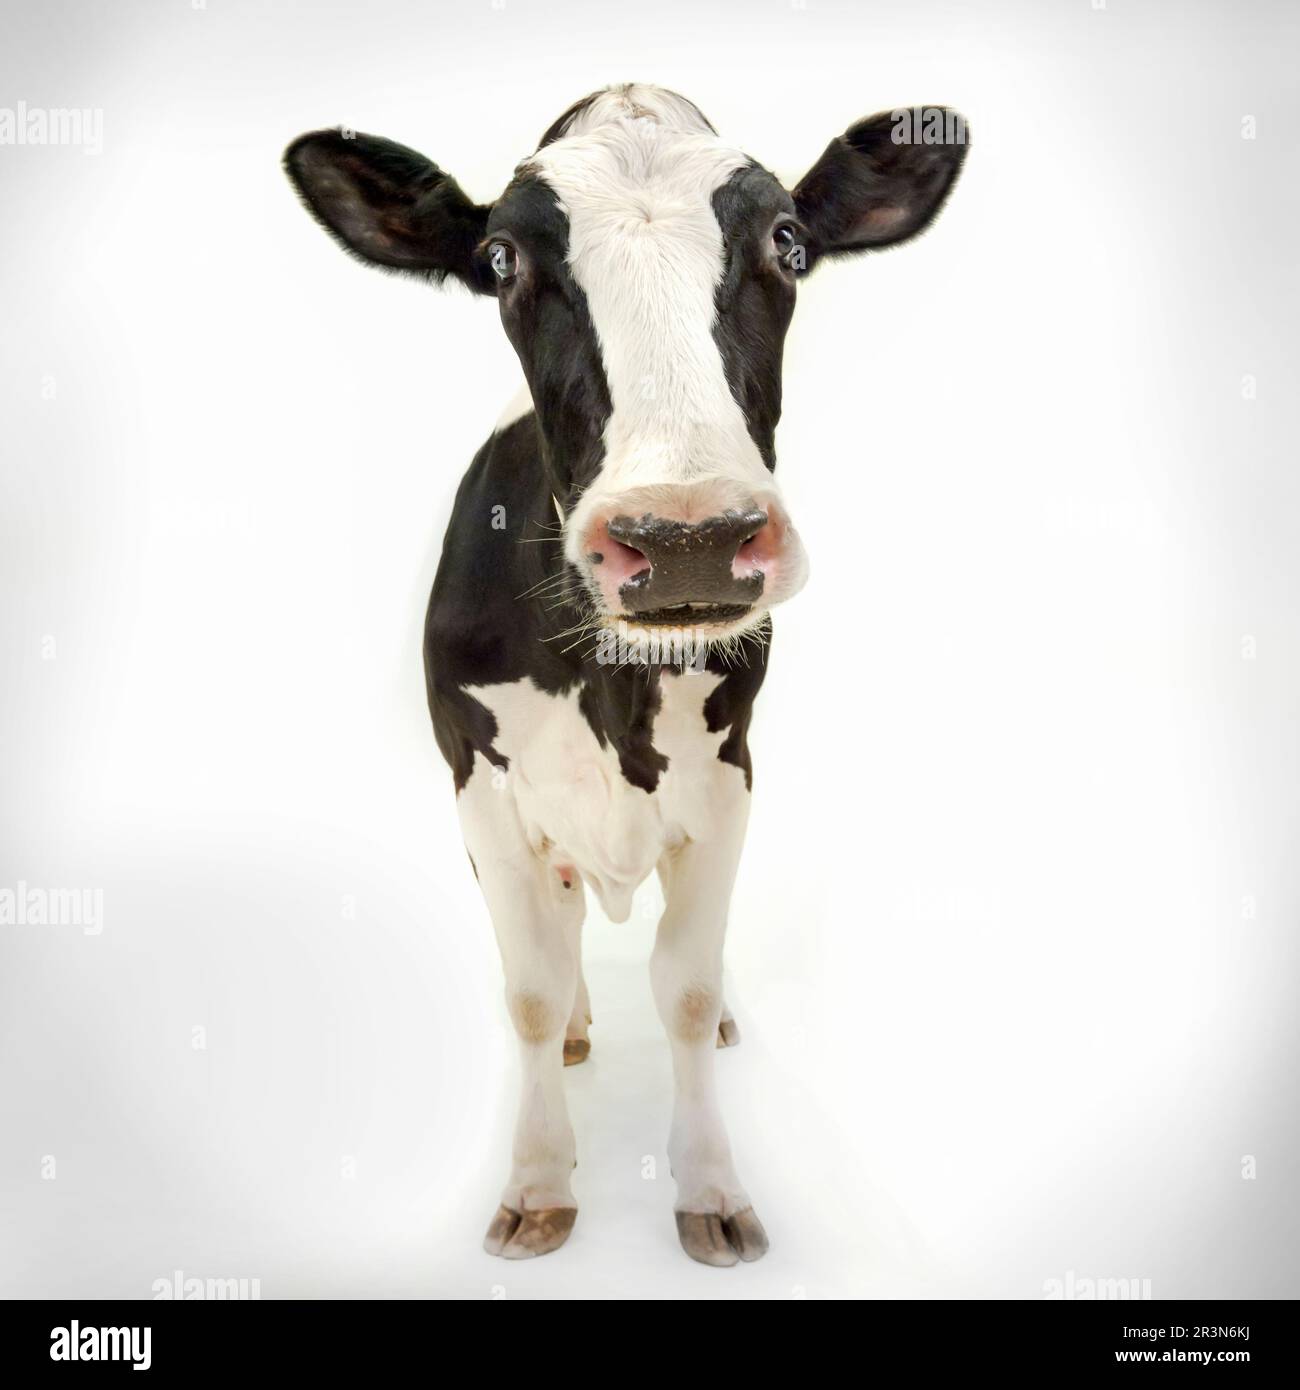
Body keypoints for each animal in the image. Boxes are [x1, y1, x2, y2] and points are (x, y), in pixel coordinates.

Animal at [284, 83, 967, 1267]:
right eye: (502, 257)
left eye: (788, 241)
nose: (688, 536)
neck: (610, 688)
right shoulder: (478, 787)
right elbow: (527, 991)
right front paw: (537, 1183)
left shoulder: (729, 778)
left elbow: (683, 990)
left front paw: (709, 1188)